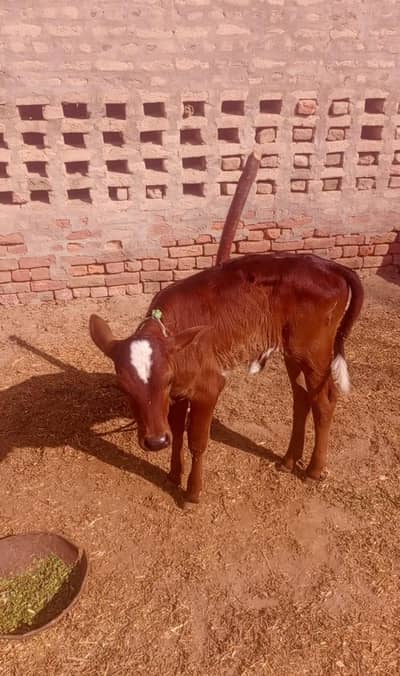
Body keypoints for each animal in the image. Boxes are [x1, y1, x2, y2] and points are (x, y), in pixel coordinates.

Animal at [89, 153, 363, 503]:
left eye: (165, 380)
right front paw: (173, 474)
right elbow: (177, 433)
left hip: (314, 350)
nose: (154, 442)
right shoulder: (181, 394)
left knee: (324, 401)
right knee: (301, 398)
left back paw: (314, 469)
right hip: (293, 350)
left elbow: (197, 441)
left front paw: (192, 492)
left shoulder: (208, 386)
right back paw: (289, 459)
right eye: (123, 387)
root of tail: (329, 265)